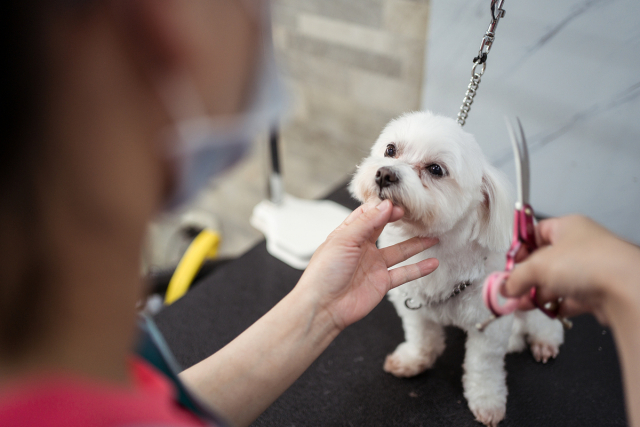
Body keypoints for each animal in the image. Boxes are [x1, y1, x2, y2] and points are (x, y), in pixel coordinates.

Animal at [348, 112, 564, 426]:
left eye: (436, 169)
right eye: (390, 149)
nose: (385, 174)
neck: (437, 251)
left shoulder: (489, 329)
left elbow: (483, 368)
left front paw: (487, 401)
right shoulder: (413, 304)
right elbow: (421, 336)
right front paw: (414, 359)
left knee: (545, 323)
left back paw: (544, 341)